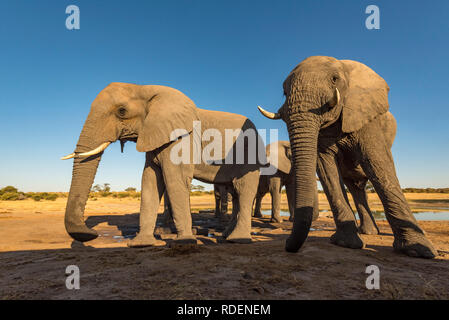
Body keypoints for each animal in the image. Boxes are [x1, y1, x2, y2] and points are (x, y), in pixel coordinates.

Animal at [63, 82, 266, 245]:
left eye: (121, 111)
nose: (91, 233)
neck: (143, 88)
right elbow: (150, 181)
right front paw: (140, 244)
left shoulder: (180, 138)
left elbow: (174, 179)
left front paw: (184, 243)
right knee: (235, 193)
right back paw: (226, 236)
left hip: (250, 155)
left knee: (243, 189)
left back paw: (238, 240)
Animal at [258, 55, 436, 258]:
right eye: (284, 91)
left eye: (334, 79)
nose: (287, 243)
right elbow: (327, 168)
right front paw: (346, 244)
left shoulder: (366, 114)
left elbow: (378, 164)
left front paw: (419, 251)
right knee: (355, 187)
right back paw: (368, 232)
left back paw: (371, 233)